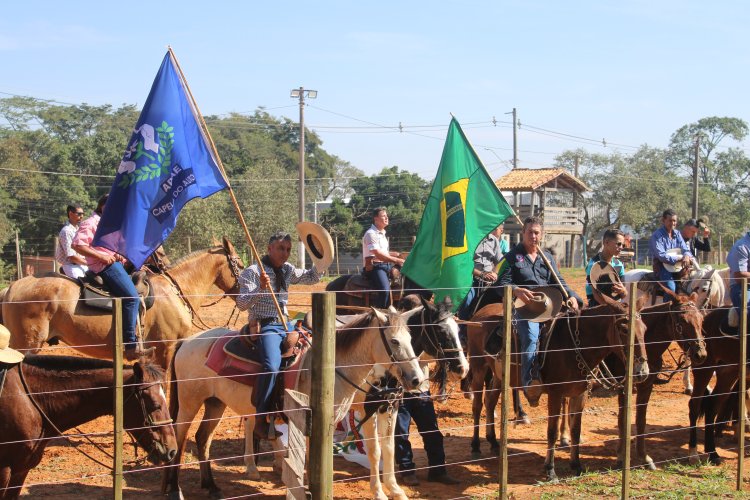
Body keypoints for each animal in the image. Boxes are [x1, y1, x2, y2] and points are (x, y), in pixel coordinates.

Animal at [162, 308, 426, 500]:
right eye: (394, 341)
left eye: (411, 338)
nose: (416, 379)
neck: (334, 367)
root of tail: (187, 342)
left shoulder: (379, 408)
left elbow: (384, 449)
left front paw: (393, 491)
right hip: (189, 402)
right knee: (180, 437)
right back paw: (175, 488)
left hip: (215, 403)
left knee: (203, 438)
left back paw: (211, 486)